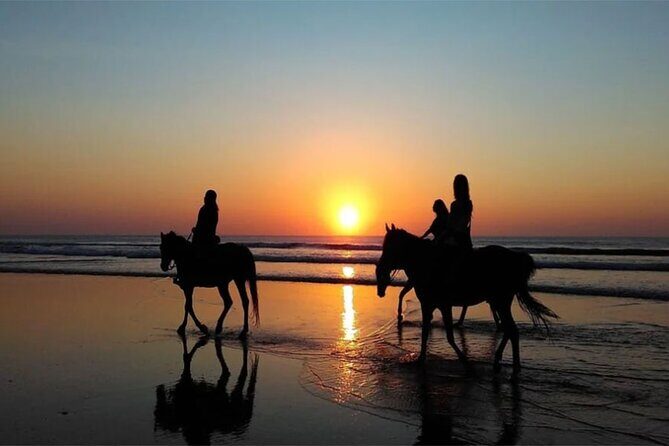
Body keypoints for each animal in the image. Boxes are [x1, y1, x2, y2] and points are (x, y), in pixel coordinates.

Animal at [376, 224, 558, 373]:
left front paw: (464, 360)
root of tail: (516, 258)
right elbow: (426, 332)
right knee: (509, 330)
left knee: (511, 330)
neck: (428, 263)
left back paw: (512, 365)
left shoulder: (442, 305)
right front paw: (421, 359)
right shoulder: (430, 305)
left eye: (390, 247)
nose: (380, 268)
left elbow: (447, 335)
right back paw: (501, 361)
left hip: (500, 302)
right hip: (499, 302)